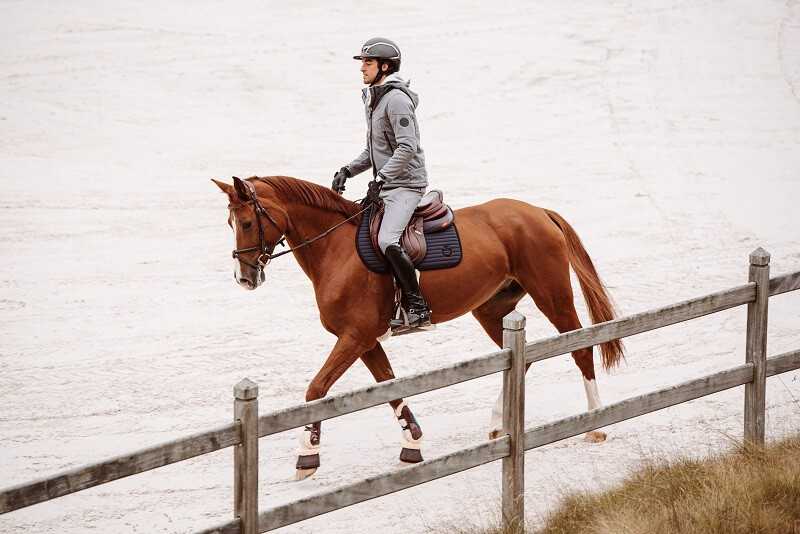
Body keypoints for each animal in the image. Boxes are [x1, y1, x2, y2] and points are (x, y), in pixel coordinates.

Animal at [212, 177, 624, 482]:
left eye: (246, 223)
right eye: (231, 224)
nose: (243, 278)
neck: (335, 247)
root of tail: (538, 211)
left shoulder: (355, 336)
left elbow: (316, 389)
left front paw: (307, 455)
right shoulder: (365, 341)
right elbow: (390, 387)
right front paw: (412, 446)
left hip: (552, 296)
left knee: (580, 347)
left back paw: (595, 423)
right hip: (492, 309)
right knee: (519, 359)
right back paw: (498, 423)